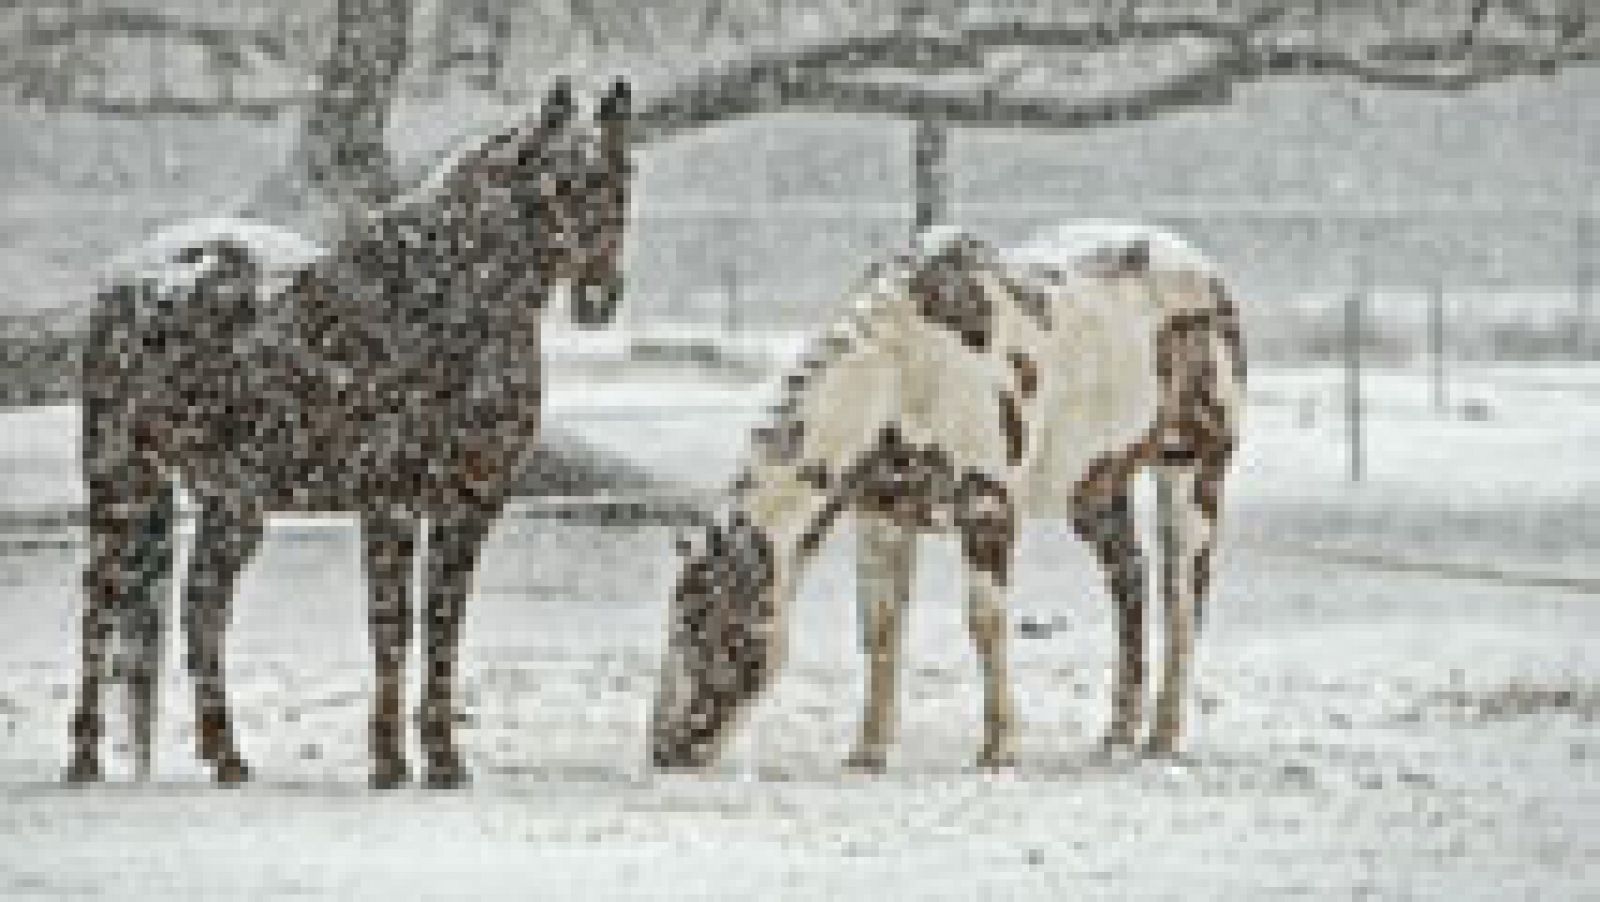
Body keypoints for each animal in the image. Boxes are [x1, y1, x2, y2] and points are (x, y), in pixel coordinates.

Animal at [70, 79, 630, 790]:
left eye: (621, 177)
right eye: (557, 183)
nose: (598, 297)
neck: (447, 309)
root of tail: (131, 281)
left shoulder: (469, 507)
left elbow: (443, 626)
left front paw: (443, 760)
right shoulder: (389, 502)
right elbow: (392, 627)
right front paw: (389, 762)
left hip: (230, 504)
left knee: (201, 610)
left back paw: (227, 756)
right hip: (120, 480)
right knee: (102, 601)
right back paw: (84, 756)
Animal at [649, 223, 1248, 767]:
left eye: (715, 625)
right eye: (678, 621)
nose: (667, 750)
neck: (904, 371)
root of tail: (1209, 274)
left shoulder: (987, 507)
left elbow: (985, 622)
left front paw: (999, 748)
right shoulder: (883, 514)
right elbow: (880, 627)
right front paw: (868, 751)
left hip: (1194, 469)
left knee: (1182, 599)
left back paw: (1163, 738)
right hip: (1097, 489)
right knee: (1130, 586)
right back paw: (1117, 735)